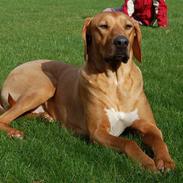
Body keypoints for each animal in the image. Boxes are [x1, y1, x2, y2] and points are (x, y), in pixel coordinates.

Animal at [0, 12, 174, 171]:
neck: (116, 82)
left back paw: (44, 117)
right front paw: (147, 162)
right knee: (5, 117)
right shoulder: (99, 132)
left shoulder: (149, 126)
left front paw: (166, 160)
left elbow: (159, 140)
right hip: (44, 86)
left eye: (128, 26)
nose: (122, 42)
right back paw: (14, 132)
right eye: (103, 26)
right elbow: (128, 143)